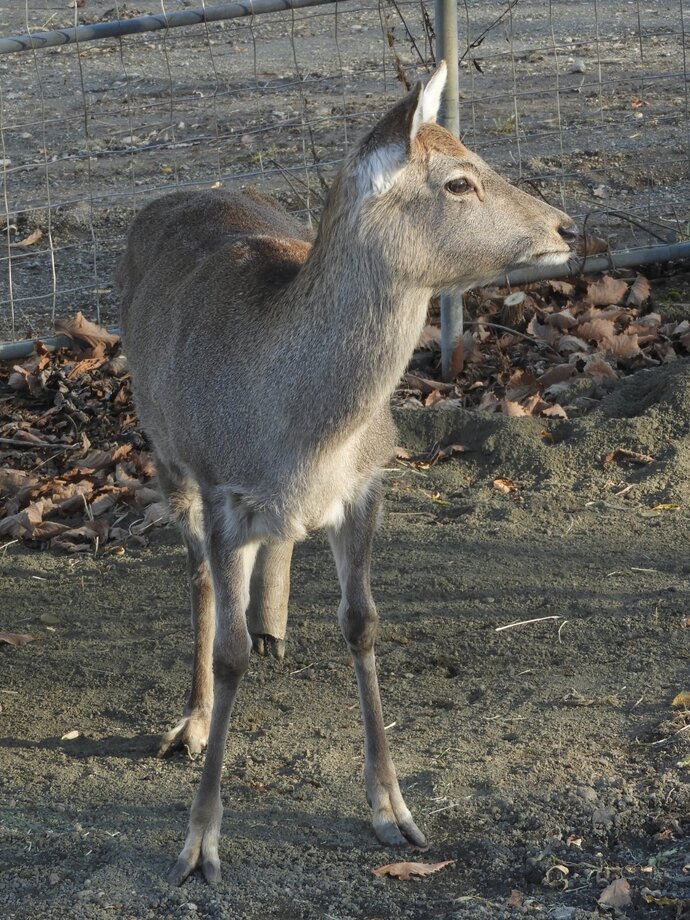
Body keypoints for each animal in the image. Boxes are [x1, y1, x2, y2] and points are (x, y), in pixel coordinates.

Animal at [118, 64, 576, 884]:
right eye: (459, 181)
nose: (568, 228)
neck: (305, 435)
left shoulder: (368, 486)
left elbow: (363, 623)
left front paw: (394, 811)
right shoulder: (225, 491)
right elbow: (228, 652)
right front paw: (199, 843)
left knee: (270, 553)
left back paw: (272, 622)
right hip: (164, 450)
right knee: (198, 578)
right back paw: (192, 721)